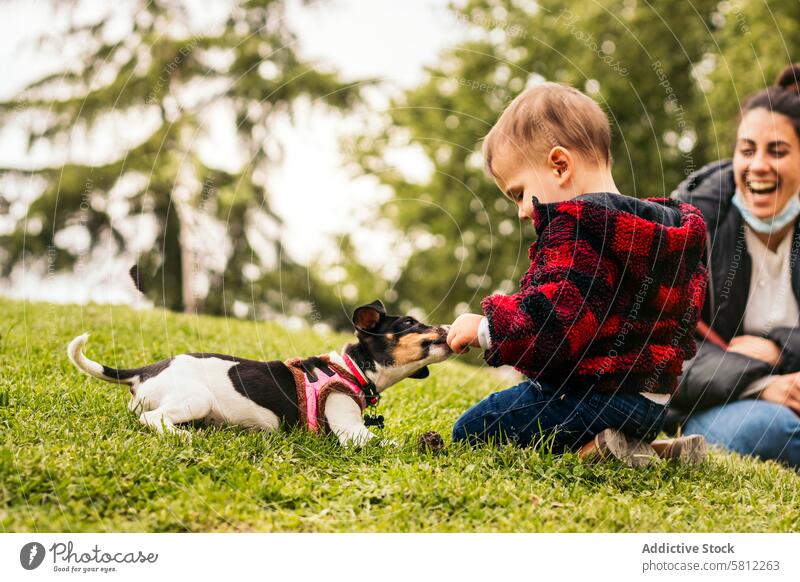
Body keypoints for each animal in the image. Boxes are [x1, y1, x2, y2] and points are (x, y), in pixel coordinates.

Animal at [68, 302, 450, 448]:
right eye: (410, 323)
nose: (448, 327)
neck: (350, 367)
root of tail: (145, 372)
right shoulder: (352, 434)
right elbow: (393, 444)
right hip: (195, 398)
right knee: (151, 419)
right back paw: (183, 436)